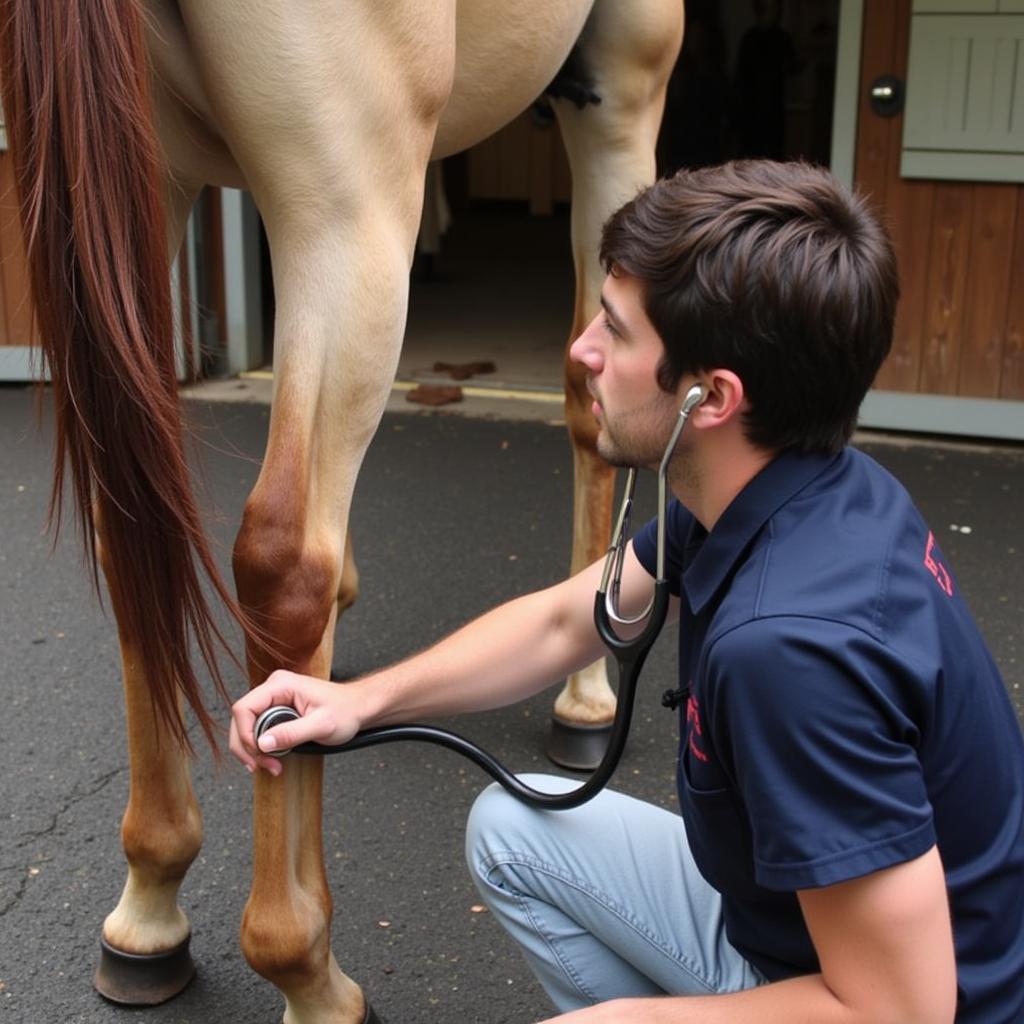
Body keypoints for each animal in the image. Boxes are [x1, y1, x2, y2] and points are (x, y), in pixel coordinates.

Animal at [4, 4, 684, 1019]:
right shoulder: (622, 90)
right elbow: (588, 396)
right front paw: (589, 697)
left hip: (144, 190)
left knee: (135, 539)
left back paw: (149, 904)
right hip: (346, 207)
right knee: (283, 556)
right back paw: (304, 963)